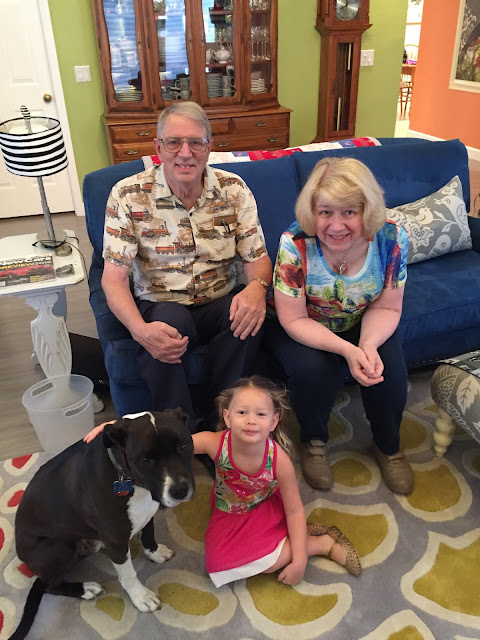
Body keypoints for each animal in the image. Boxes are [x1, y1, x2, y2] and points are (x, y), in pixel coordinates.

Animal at [10, 409, 195, 640]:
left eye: (183, 446)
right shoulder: (115, 540)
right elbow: (128, 574)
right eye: (145, 459)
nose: (179, 490)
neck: (129, 479)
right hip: (58, 547)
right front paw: (141, 597)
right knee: (50, 585)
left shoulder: (148, 510)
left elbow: (149, 533)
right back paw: (85, 588)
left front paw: (154, 552)